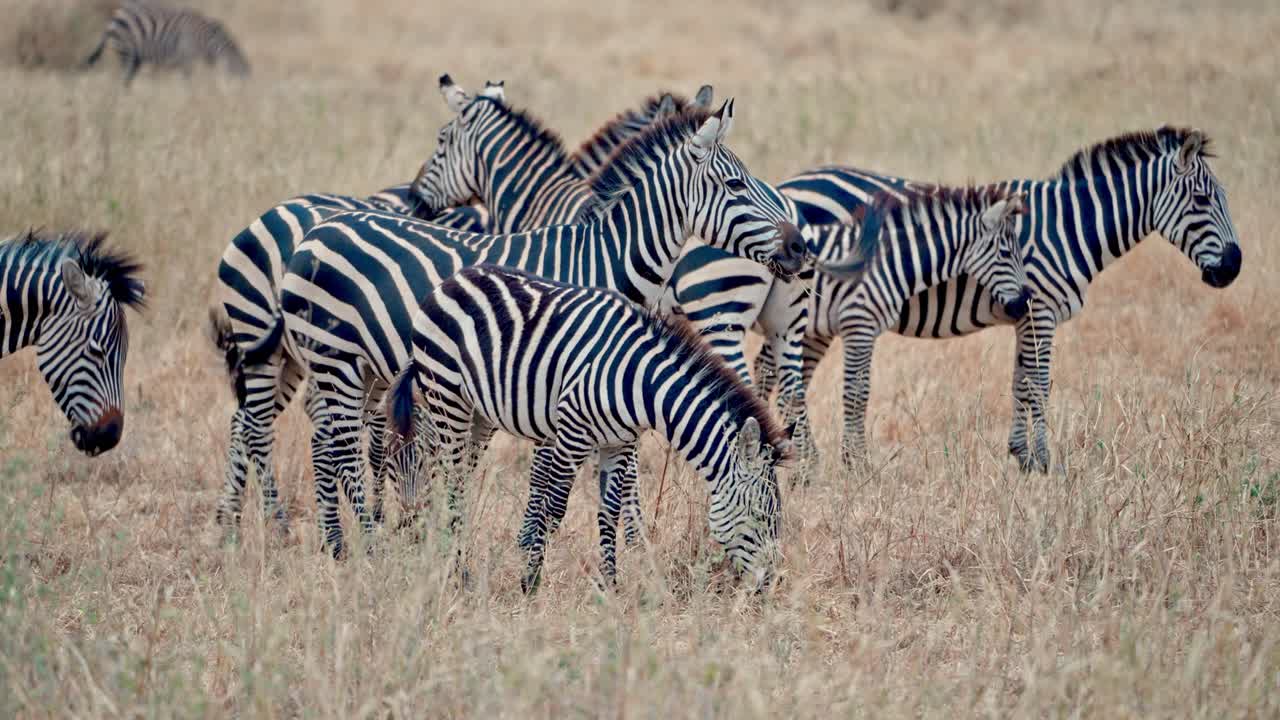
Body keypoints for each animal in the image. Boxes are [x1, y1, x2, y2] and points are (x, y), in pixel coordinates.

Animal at [83, 1, 250, 86]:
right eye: (240, 70)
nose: (249, 75)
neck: (205, 40)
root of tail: (116, 14)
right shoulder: (186, 57)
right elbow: (189, 82)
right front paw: (191, 99)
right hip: (126, 52)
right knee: (123, 79)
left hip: (136, 58)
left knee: (127, 80)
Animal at [275, 102, 804, 556]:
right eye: (735, 185)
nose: (800, 246)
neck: (605, 261)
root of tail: (316, 232)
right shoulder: (562, 376)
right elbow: (571, 481)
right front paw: (578, 547)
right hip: (337, 362)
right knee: (341, 453)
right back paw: (362, 549)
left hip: (360, 371)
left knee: (325, 448)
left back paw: (338, 545)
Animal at [385, 265, 789, 590]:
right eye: (763, 516)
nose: (770, 585)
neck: (640, 382)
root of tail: (452, 279)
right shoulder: (572, 435)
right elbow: (552, 510)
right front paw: (530, 582)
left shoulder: (619, 443)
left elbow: (609, 513)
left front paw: (609, 585)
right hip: (446, 396)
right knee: (451, 484)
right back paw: (459, 574)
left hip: (478, 416)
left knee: (454, 481)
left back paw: (447, 559)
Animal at [759, 126, 1242, 471]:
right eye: (1202, 200)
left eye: (1222, 198)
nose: (1234, 267)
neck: (1069, 227)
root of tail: (788, 184)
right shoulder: (1040, 310)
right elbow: (1039, 384)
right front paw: (1045, 462)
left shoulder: (1026, 313)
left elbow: (1020, 382)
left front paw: (1022, 456)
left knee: (781, 371)